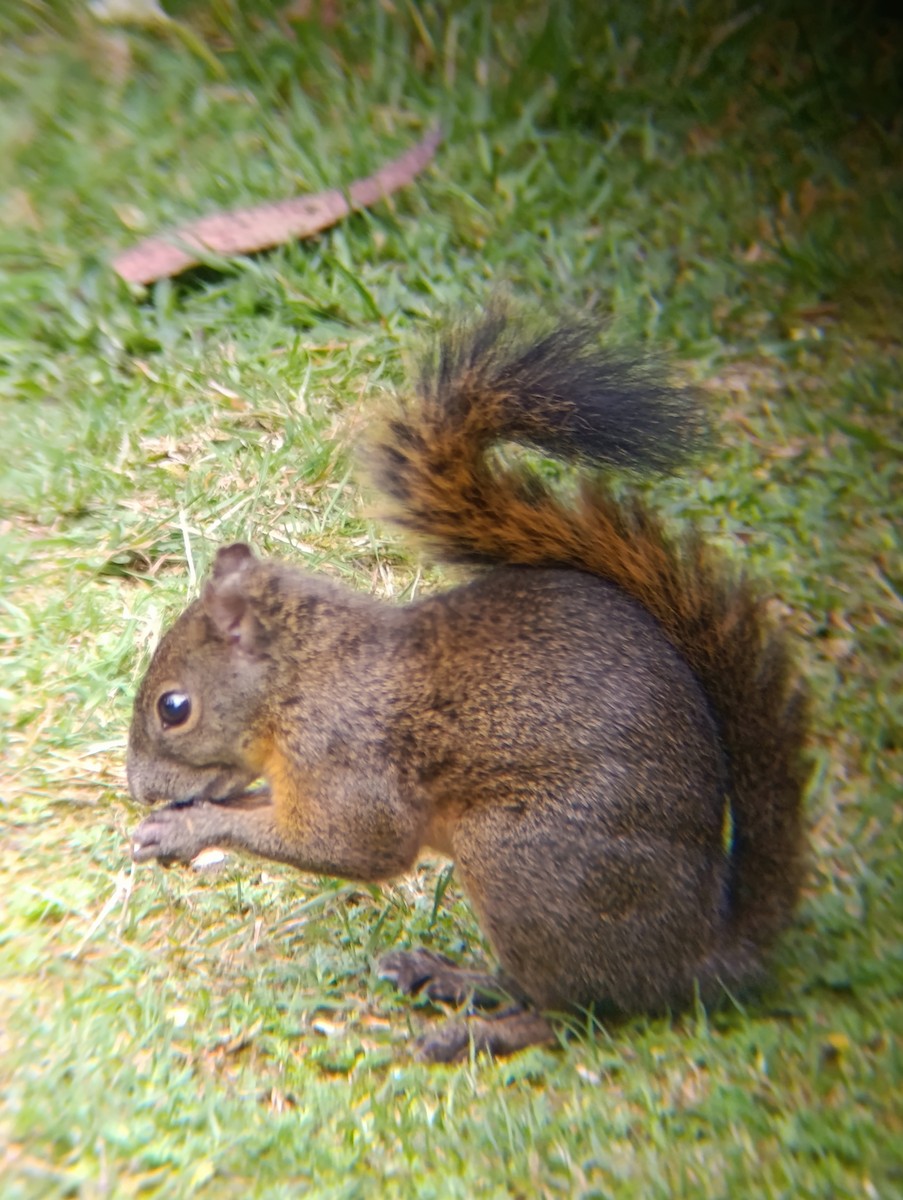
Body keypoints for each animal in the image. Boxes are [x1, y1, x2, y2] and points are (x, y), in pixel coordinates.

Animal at [128, 309, 809, 1063]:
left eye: (173, 708)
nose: (139, 789)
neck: (304, 676)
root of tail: (700, 955)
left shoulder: (349, 756)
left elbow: (356, 845)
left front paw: (188, 828)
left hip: (523, 861)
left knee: (577, 1010)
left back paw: (480, 1031)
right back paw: (453, 978)